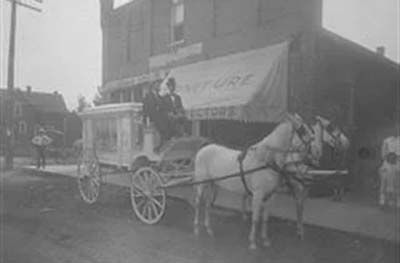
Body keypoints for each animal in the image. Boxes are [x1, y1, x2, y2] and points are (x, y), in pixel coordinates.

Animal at [192, 113, 314, 250]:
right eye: (302, 129)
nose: (313, 140)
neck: (265, 160)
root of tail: (202, 150)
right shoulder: (257, 194)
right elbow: (255, 218)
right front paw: (252, 242)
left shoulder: (271, 196)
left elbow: (265, 218)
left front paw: (265, 240)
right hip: (202, 184)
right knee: (198, 203)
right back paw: (196, 229)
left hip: (212, 184)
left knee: (207, 204)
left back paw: (209, 229)